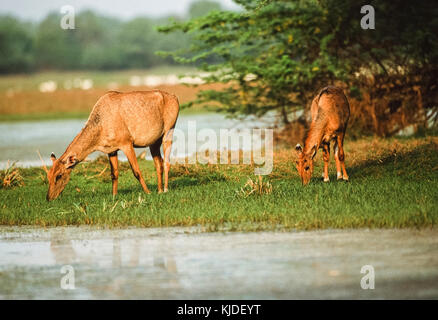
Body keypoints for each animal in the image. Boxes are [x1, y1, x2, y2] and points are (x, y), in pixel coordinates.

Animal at [45, 89, 180, 200]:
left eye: (59, 175)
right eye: (49, 175)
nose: (49, 197)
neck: (101, 123)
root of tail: (175, 97)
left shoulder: (126, 143)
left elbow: (136, 171)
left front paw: (147, 192)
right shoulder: (111, 150)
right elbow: (114, 173)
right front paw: (114, 195)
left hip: (169, 131)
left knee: (167, 162)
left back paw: (165, 189)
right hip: (154, 143)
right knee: (159, 163)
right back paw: (159, 190)